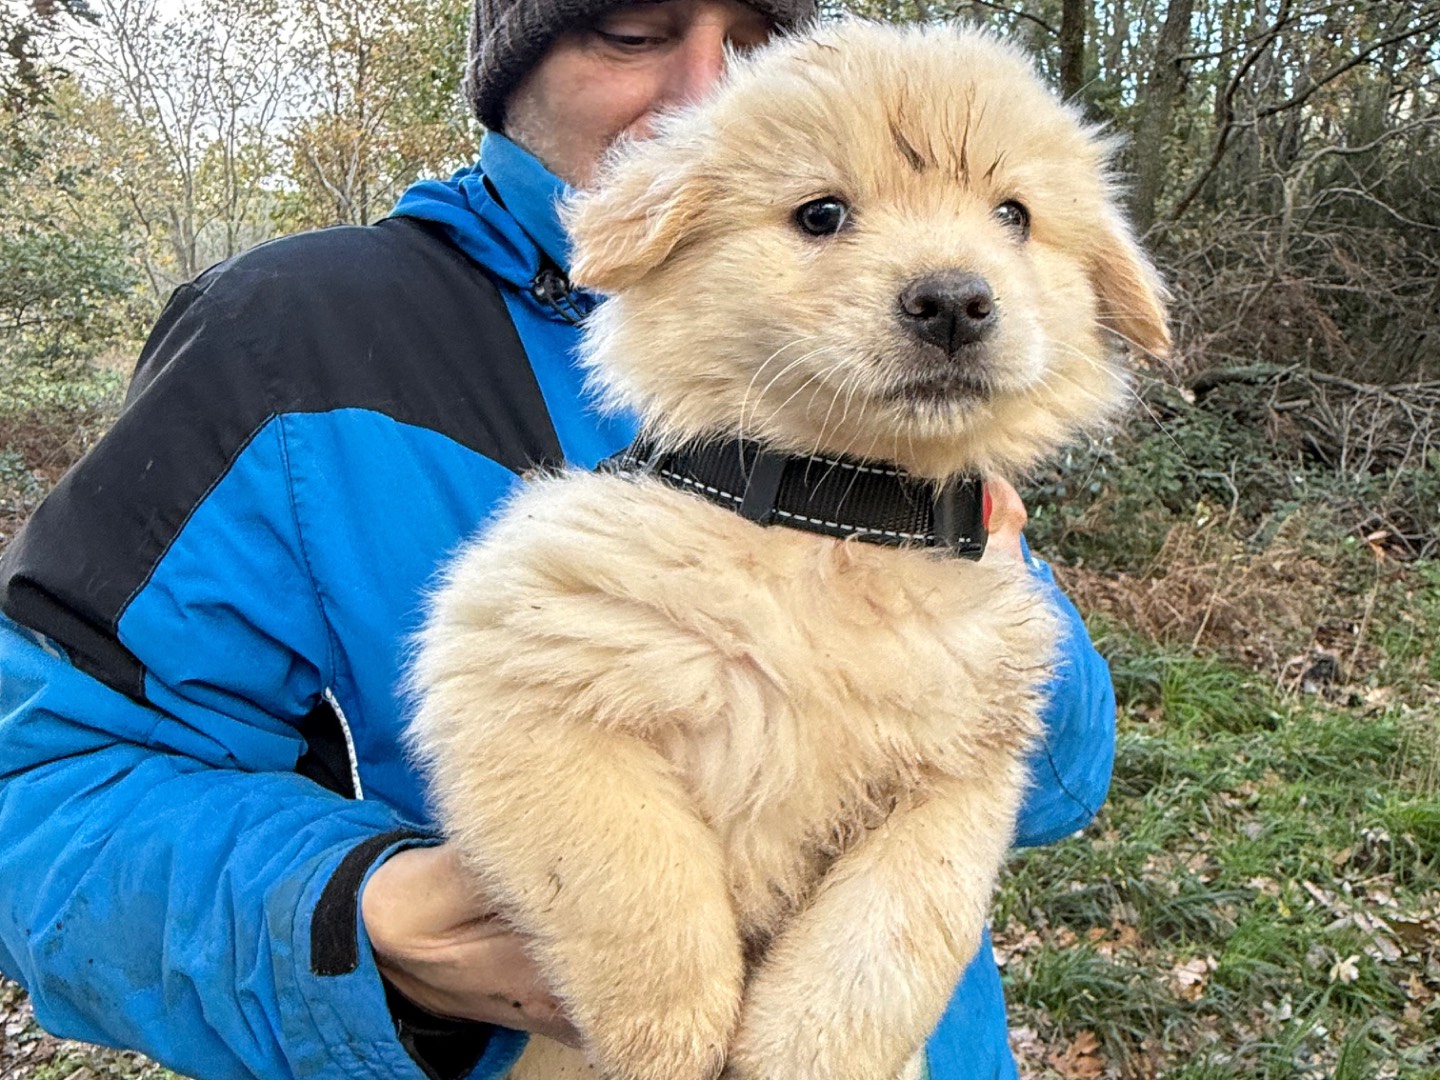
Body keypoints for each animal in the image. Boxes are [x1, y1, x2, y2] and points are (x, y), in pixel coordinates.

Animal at [406, 19, 1169, 1080]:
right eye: (822, 214)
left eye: (1014, 215)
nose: (954, 301)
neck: (840, 513)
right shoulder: (523, 678)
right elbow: (632, 876)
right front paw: (672, 1036)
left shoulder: (964, 777)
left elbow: (882, 945)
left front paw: (799, 1048)